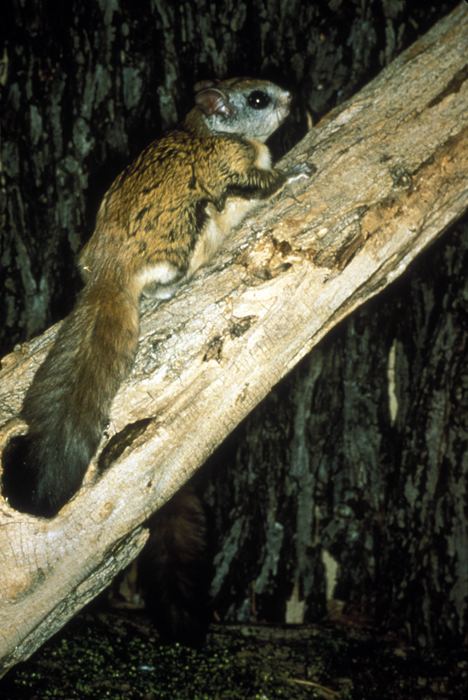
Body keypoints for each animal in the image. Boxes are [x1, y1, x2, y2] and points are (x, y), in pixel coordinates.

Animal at [17, 78, 310, 516]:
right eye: (258, 98)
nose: (292, 97)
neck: (211, 131)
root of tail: (109, 271)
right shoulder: (232, 167)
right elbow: (264, 183)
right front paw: (294, 173)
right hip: (186, 231)